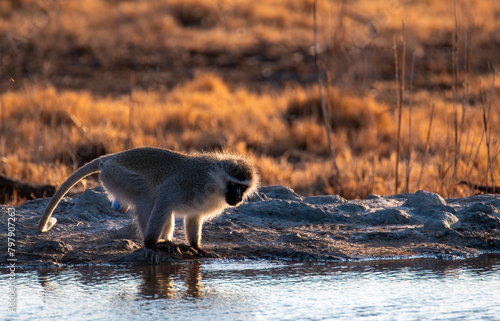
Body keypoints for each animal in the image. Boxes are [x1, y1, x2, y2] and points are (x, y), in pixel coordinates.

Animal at [37, 148, 260, 262]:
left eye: (243, 187)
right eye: (234, 185)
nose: (238, 197)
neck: (215, 184)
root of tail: (110, 158)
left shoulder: (199, 204)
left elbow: (193, 217)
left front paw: (196, 246)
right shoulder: (190, 181)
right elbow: (165, 197)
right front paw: (151, 244)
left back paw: (168, 242)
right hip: (115, 176)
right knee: (148, 197)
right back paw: (155, 243)